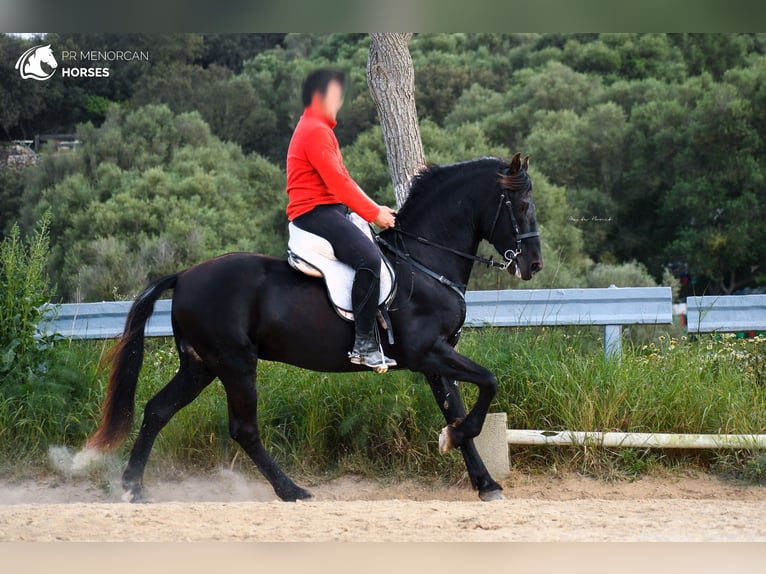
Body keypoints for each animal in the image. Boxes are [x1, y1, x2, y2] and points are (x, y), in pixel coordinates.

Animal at [87, 152, 544, 504]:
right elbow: (488, 382)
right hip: (235, 364)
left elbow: (459, 406)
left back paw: (133, 488)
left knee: (158, 410)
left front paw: (483, 481)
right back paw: (292, 491)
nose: (534, 264)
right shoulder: (427, 352)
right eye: (521, 205)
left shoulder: (437, 357)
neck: (424, 262)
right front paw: (455, 440)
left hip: (201, 365)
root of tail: (183, 276)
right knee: (243, 428)